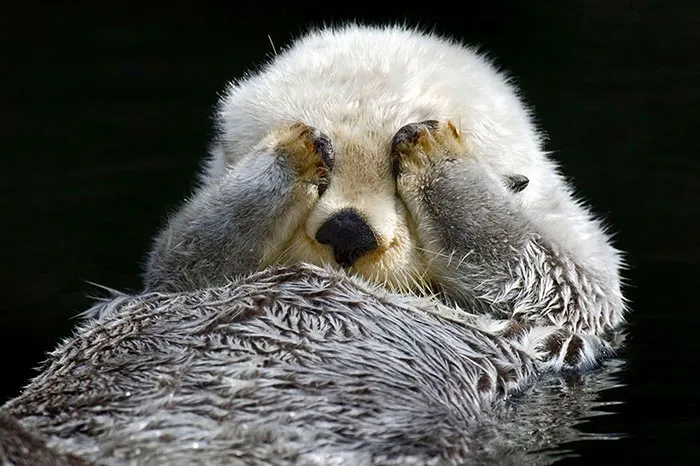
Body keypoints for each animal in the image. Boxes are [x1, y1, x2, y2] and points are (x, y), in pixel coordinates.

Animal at [2, 24, 627, 465]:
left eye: (397, 184)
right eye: (323, 181)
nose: (348, 231)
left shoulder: (576, 298)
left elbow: (556, 273)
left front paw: (434, 151)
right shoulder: (175, 276)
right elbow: (184, 252)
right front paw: (295, 148)